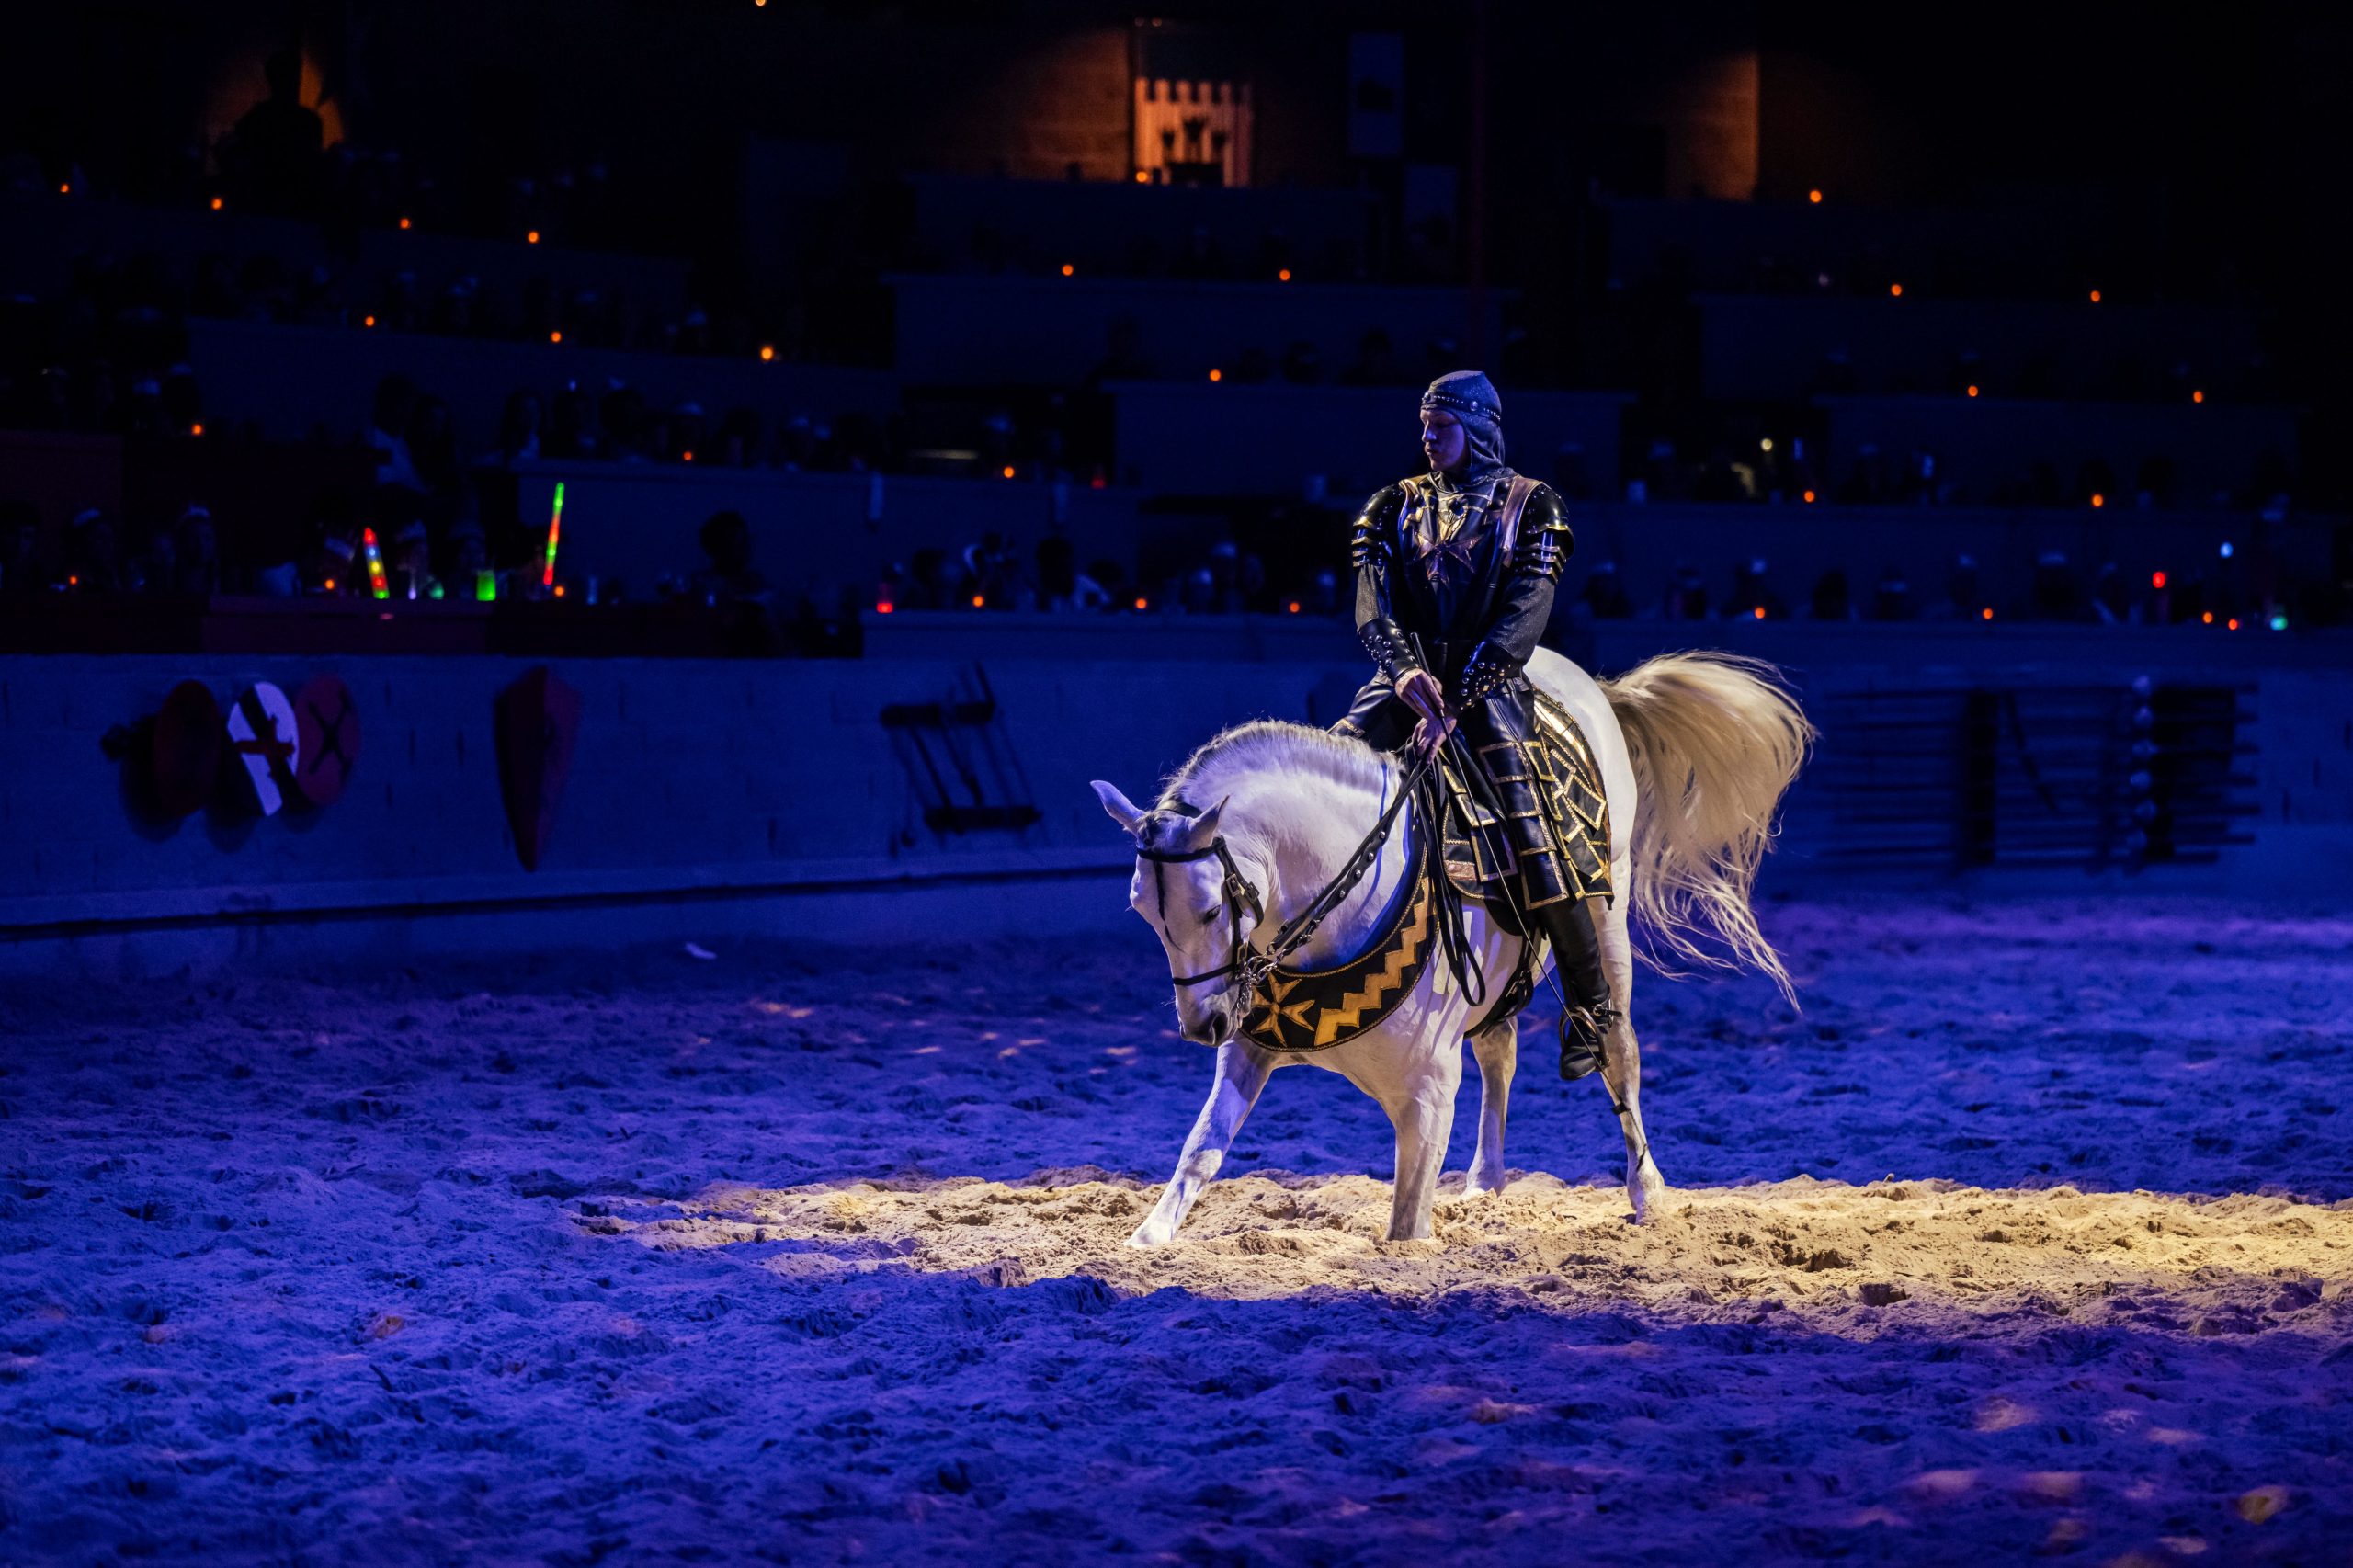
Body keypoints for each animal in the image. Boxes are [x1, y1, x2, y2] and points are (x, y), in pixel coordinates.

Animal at [1091, 648, 1812, 1246]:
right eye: (1142, 912)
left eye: (1213, 907)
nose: (1202, 1025)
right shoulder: (1248, 1051)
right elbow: (1200, 1150)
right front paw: (1146, 1239)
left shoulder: (1430, 1092)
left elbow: (1407, 1229)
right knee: (1501, 1052)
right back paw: (1484, 1182)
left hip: (1606, 911)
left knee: (1618, 1045)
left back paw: (1646, 1188)